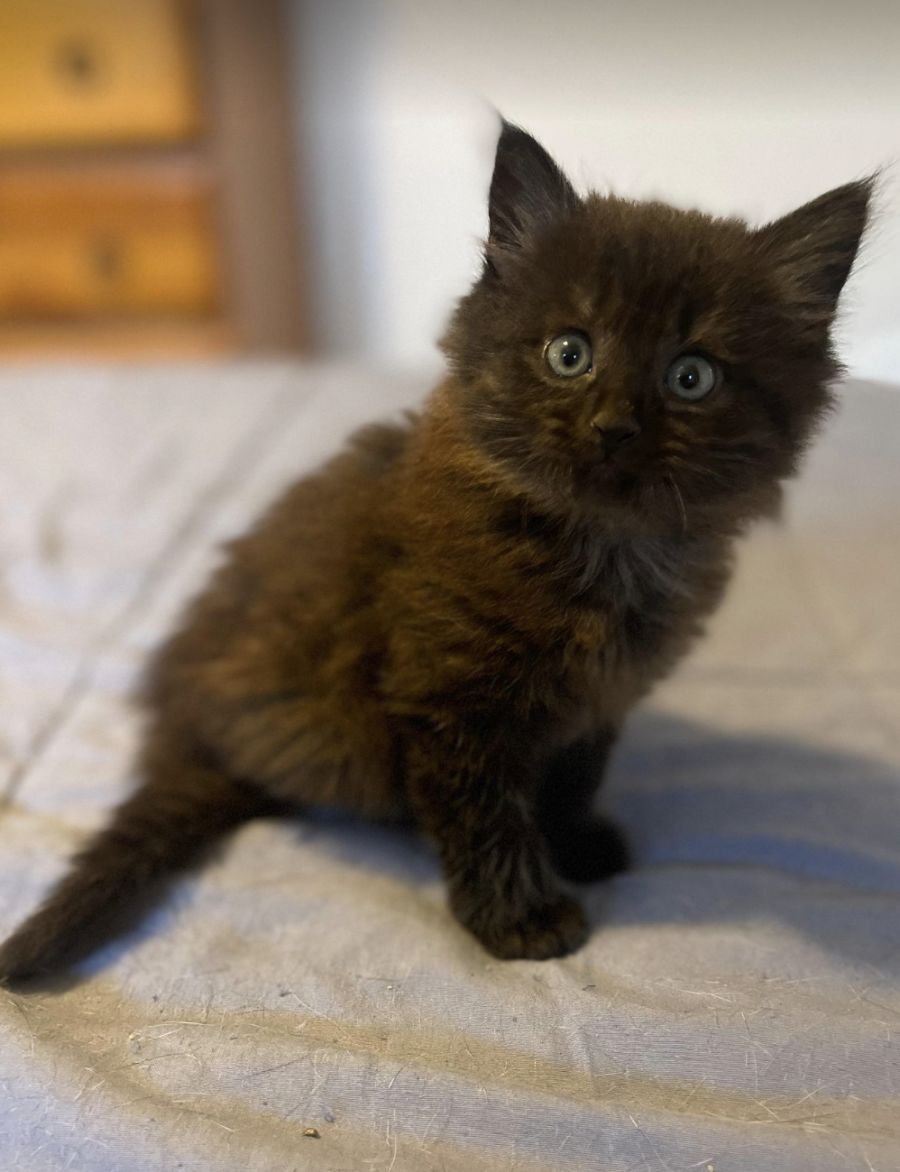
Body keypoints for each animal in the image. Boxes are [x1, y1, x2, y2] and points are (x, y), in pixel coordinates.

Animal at [0, 120, 872, 983]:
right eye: (569, 353)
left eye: (692, 376)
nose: (613, 427)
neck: (603, 551)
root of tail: (176, 717)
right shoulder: (451, 699)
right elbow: (487, 817)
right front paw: (522, 919)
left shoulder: (597, 700)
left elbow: (571, 778)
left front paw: (576, 843)